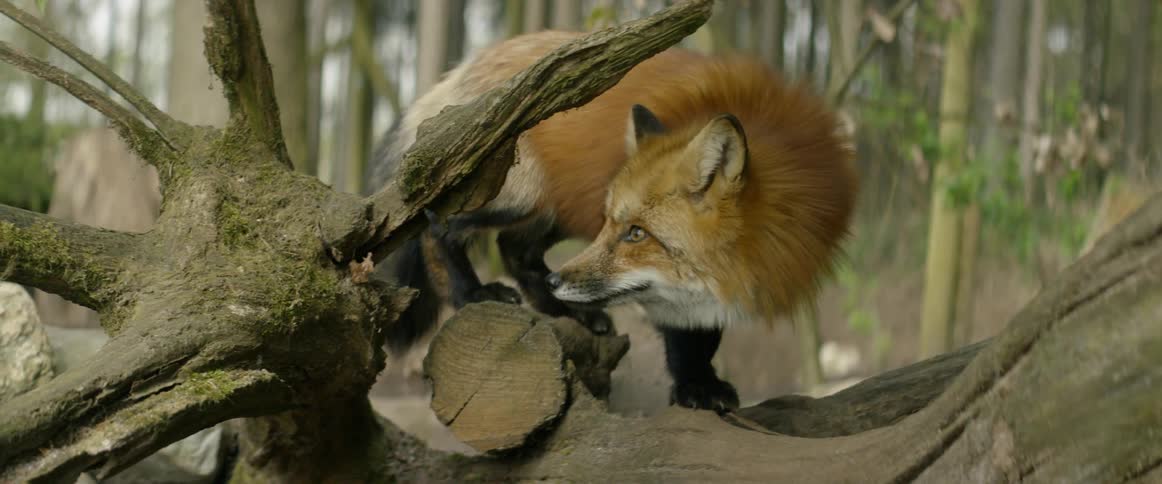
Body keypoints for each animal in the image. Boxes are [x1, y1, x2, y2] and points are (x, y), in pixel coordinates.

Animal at [371, 30, 858, 412]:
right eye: (618, 227)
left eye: (636, 233)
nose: (559, 283)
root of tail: (464, 67)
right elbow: (685, 335)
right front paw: (696, 386)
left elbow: (705, 330)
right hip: (519, 197)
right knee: (439, 227)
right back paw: (472, 293)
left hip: (556, 210)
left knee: (514, 250)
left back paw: (566, 311)